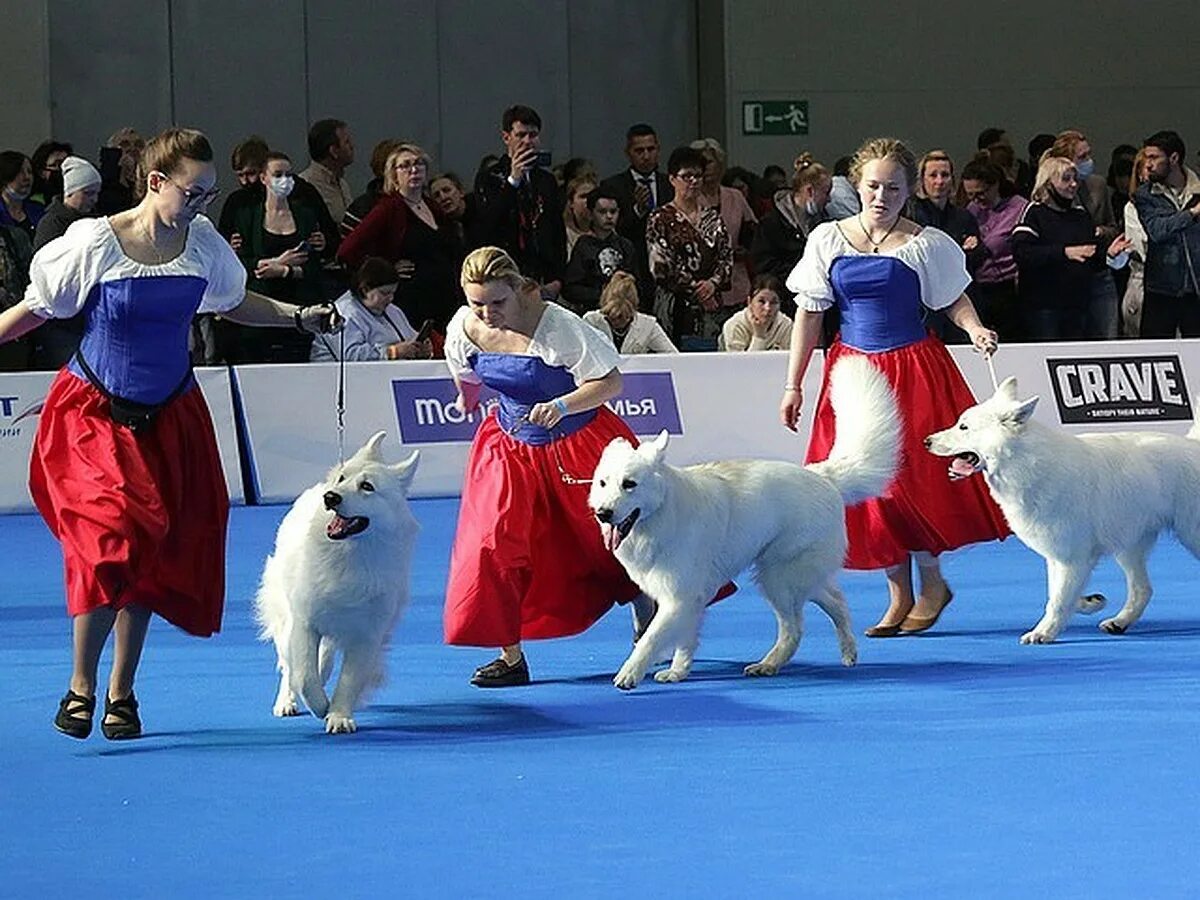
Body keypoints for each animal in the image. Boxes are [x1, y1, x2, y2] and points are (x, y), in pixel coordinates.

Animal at [255, 434, 420, 734]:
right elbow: (305, 676)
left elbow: (348, 680)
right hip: (287, 620)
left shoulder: (366, 637)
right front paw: (320, 706)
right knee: (289, 667)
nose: (330, 497)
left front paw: (338, 714)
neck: (348, 555)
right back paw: (287, 701)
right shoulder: (305, 624)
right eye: (343, 479)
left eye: (367, 487)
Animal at [585, 355, 897, 686]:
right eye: (603, 483)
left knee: (796, 627)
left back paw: (769, 664)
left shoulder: (678, 597)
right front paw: (679, 671)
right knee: (834, 601)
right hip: (788, 576)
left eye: (629, 484)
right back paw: (842, 653)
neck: (662, 512)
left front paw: (629, 673)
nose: (603, 513)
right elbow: (685, 640)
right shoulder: (689, 600)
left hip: (779, 576)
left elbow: (651, 638)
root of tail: (822, 475)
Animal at [926, 376, 1200, 643]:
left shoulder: (1072, 557)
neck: (1026, 463)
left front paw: (1043, 633)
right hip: (1128, 547)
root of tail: (1194, 445)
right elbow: (1059, 594)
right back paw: (1120, 622)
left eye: (963, 427)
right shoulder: (1059, 557)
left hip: (1188, 537)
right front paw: (1089, 602)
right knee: (1143, 590)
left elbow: (1057, 600)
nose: (926, 441)